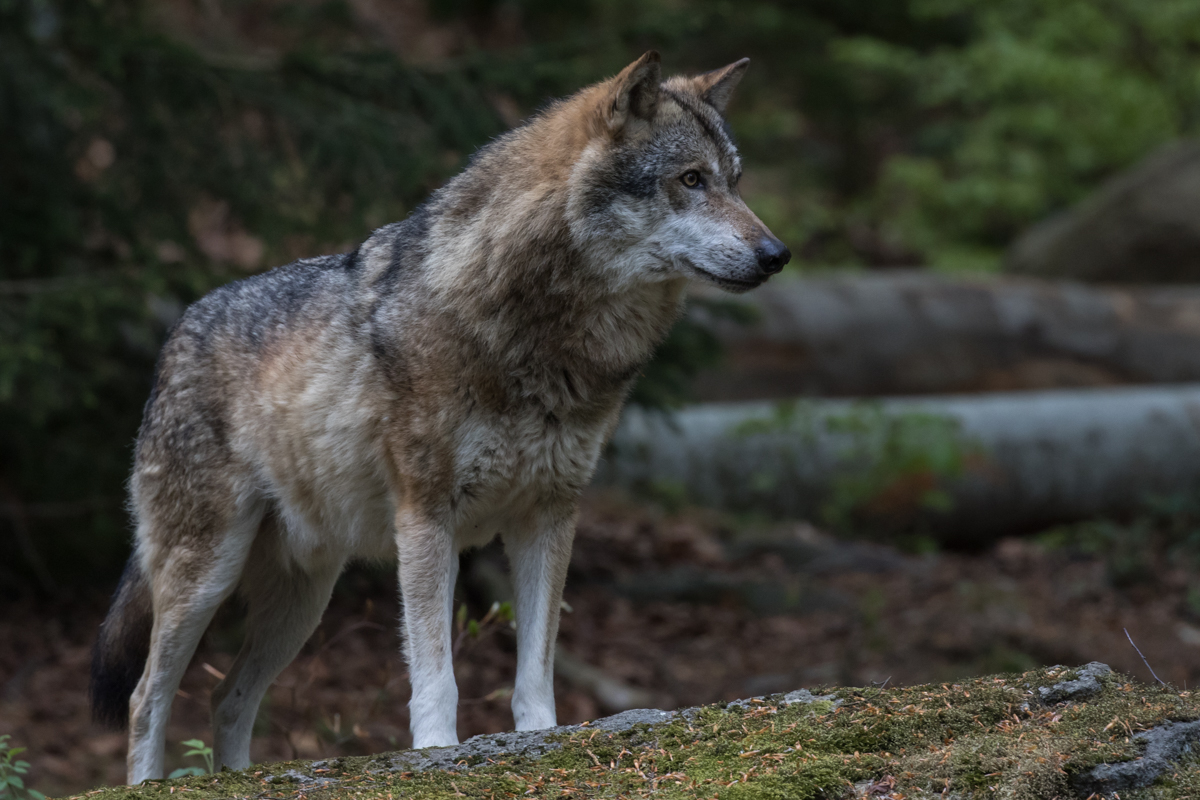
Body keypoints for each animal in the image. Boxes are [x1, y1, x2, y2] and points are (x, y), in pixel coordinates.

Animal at [90, 51, 789, 783]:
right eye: (691, 179)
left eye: (735, 181)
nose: (778, 255)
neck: (543, 341)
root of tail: (176, 333)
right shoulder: (427, 517)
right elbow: (437, 674)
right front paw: (435, 752)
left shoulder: (549, 515)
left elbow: (534, 671)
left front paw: (542, 739)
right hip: (206, 577)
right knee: (146, 697)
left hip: (303, 598)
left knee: (226, 697)